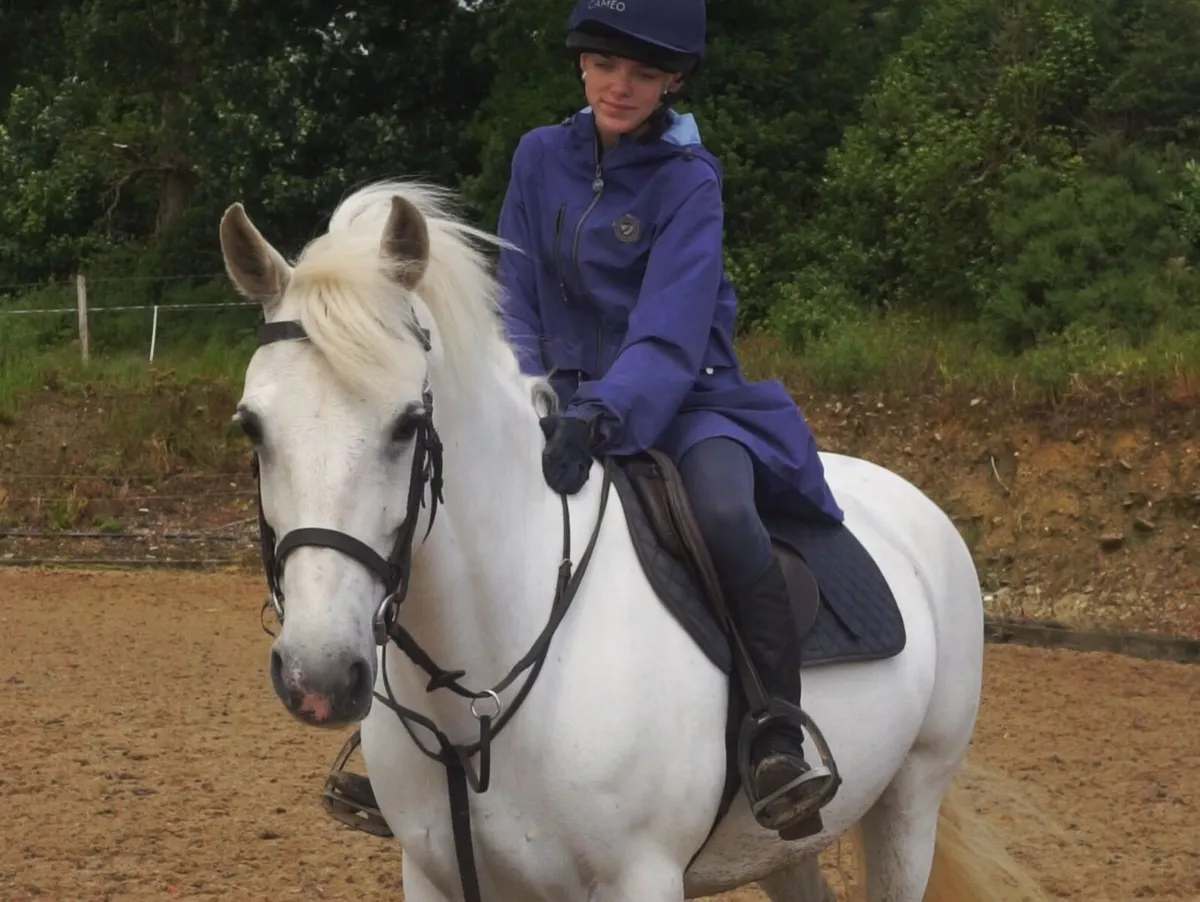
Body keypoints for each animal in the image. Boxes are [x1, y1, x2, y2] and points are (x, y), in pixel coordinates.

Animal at [217, 179, 1048, 901]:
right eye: (252, 427)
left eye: (407, 424)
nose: (320, 676)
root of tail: (916, 507)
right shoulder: (437, 876)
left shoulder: (638, 879)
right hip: (786, 845)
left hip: (910, 801)